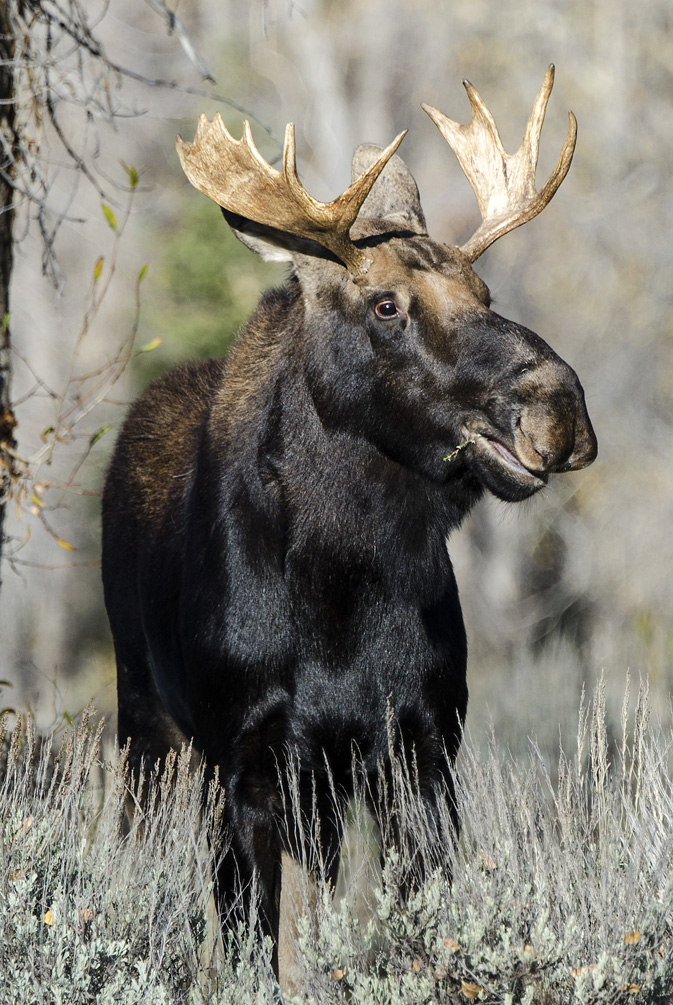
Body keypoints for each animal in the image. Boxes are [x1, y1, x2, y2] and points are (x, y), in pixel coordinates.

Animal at [101, 66, 596, 989]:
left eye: (485, 293)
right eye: (386, 304)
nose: (558, 408)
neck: (342, 586)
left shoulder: (421, 746)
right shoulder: (250, 759)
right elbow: (253, 941)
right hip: (146, 724)